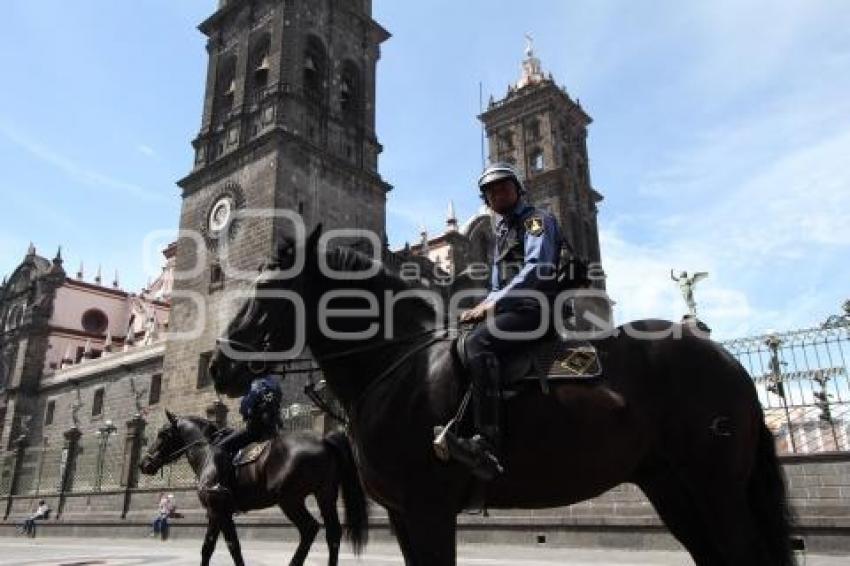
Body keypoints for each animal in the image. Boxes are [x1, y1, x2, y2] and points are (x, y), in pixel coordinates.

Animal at [137, 412, 366, 566]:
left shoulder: (216, 510)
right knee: (333, 534)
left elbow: (217, 547)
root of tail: (323, 439)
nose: (143, 463)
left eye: (163, 433)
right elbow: (227, 547)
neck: (207, 453)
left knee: (309, 528)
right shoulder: (220, 513)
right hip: (324, 496)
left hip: (290, 500)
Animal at [209, 227, 792, 566]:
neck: (399, 362)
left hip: (716, 485)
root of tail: (726, 359)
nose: (218, 366)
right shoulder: (400, 514)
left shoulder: (428, 507)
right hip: (672, 486)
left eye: (267, 290)